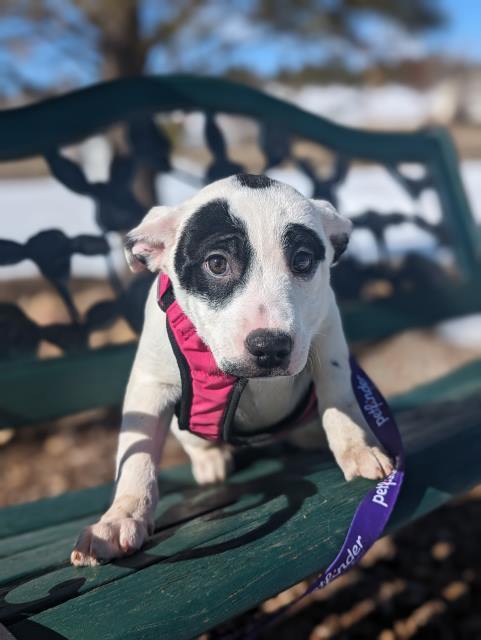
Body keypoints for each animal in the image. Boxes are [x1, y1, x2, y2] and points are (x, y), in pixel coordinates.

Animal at [72, 174, 394, 564]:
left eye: (302, 260)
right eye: (216, 263)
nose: (270, 347)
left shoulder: (328, 331)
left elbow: (338, 395)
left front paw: (356, 446)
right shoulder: (150, 385)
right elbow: (137, 453)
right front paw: (120, 517)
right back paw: (211, 459)